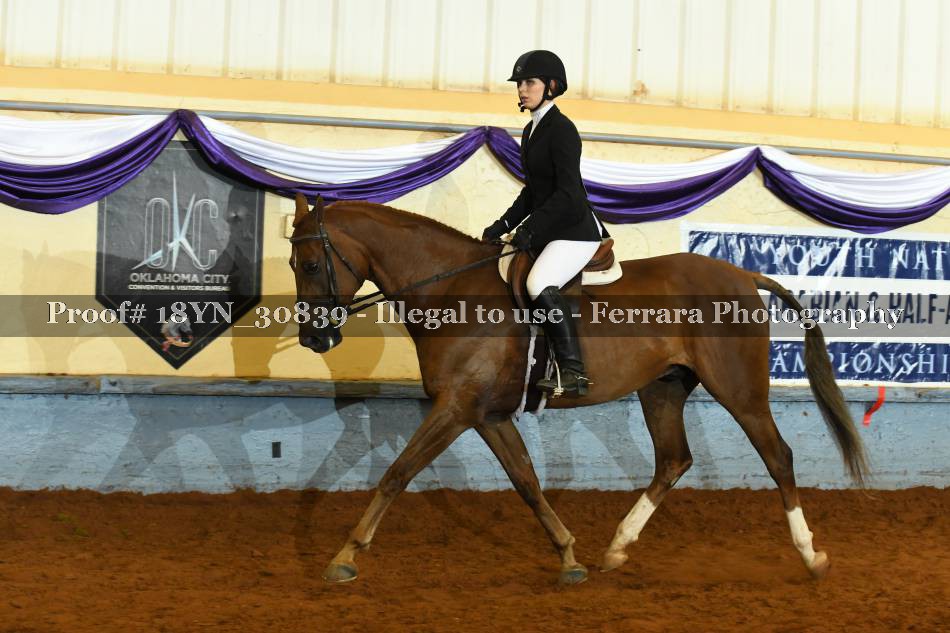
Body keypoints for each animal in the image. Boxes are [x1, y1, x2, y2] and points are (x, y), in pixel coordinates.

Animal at [287, 194, 868, 586]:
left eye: (312, 263)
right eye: (293, 264)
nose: (314, 338)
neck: (451, 288)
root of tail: (743, 274)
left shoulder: (455, 409)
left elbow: (396, 473)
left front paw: (345, 555)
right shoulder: (487, 415)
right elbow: (526, 482)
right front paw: (569, 556)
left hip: (739, 391)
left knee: (778, 457)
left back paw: (810, 555)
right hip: (662, 389)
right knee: (673, 460)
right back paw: (617, 548)